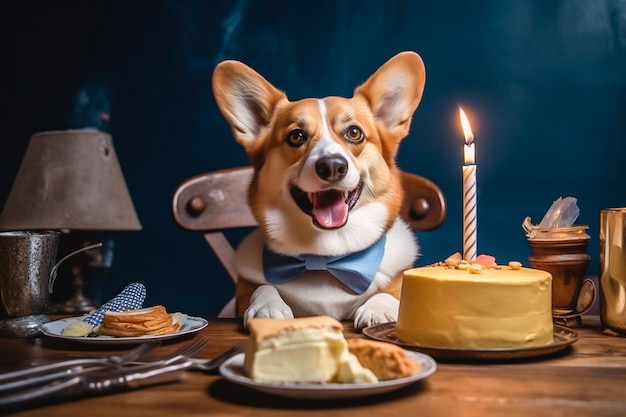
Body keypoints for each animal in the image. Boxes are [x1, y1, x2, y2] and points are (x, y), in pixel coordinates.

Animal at [213, 50, 424, 328]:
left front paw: (378, 309)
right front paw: (267, 308)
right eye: (296, 136)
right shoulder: (246, 287)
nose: (332, 166)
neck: (325, 257)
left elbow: (393, 291)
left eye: (354, 133)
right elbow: (263, 287)